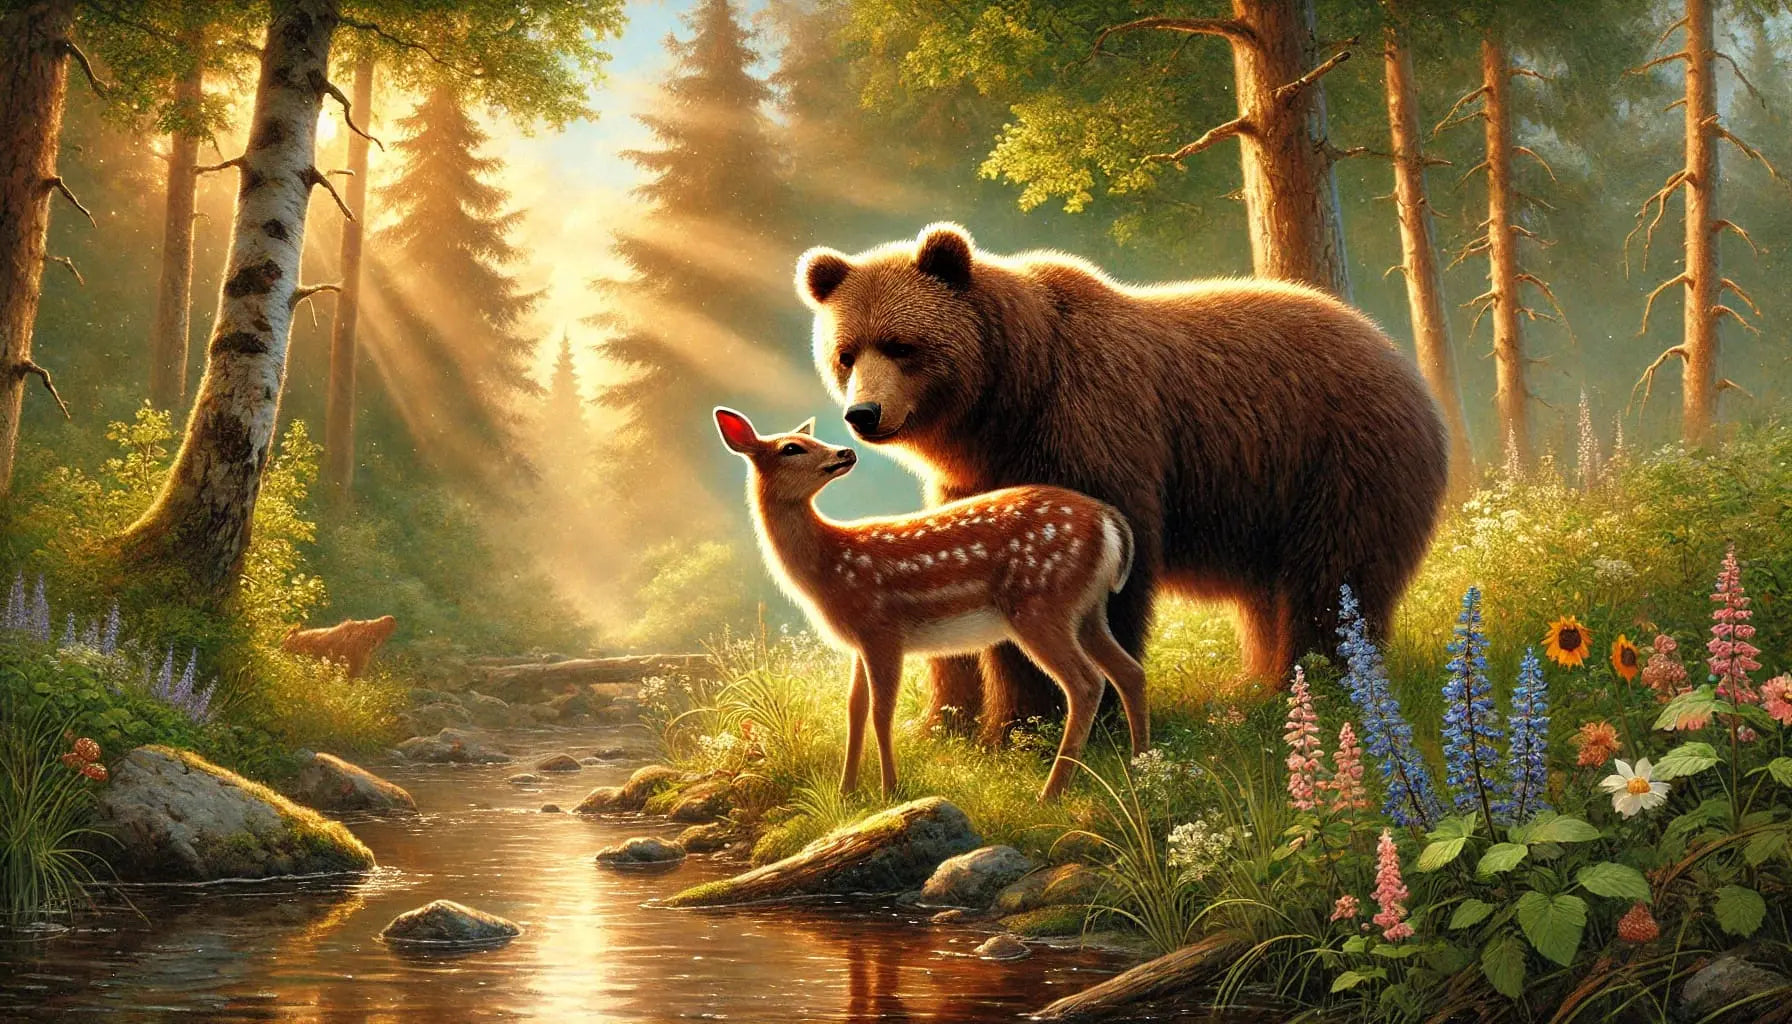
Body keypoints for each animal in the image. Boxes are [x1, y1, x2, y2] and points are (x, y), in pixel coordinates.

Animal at [714, 407, 1149, 801]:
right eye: (791, 447)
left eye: (806, 442)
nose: (845, 452)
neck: (828, 564)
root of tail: (1110, 519)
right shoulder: (859, 643)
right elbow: (855, 710)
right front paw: (846, 792)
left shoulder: (881, 629)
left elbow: (881, 712)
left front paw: (890, 791)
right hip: (1086, 609)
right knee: (1129, 671)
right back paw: (1140, 766)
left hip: (1040, 603)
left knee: (1086, 682)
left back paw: (1052, 793)